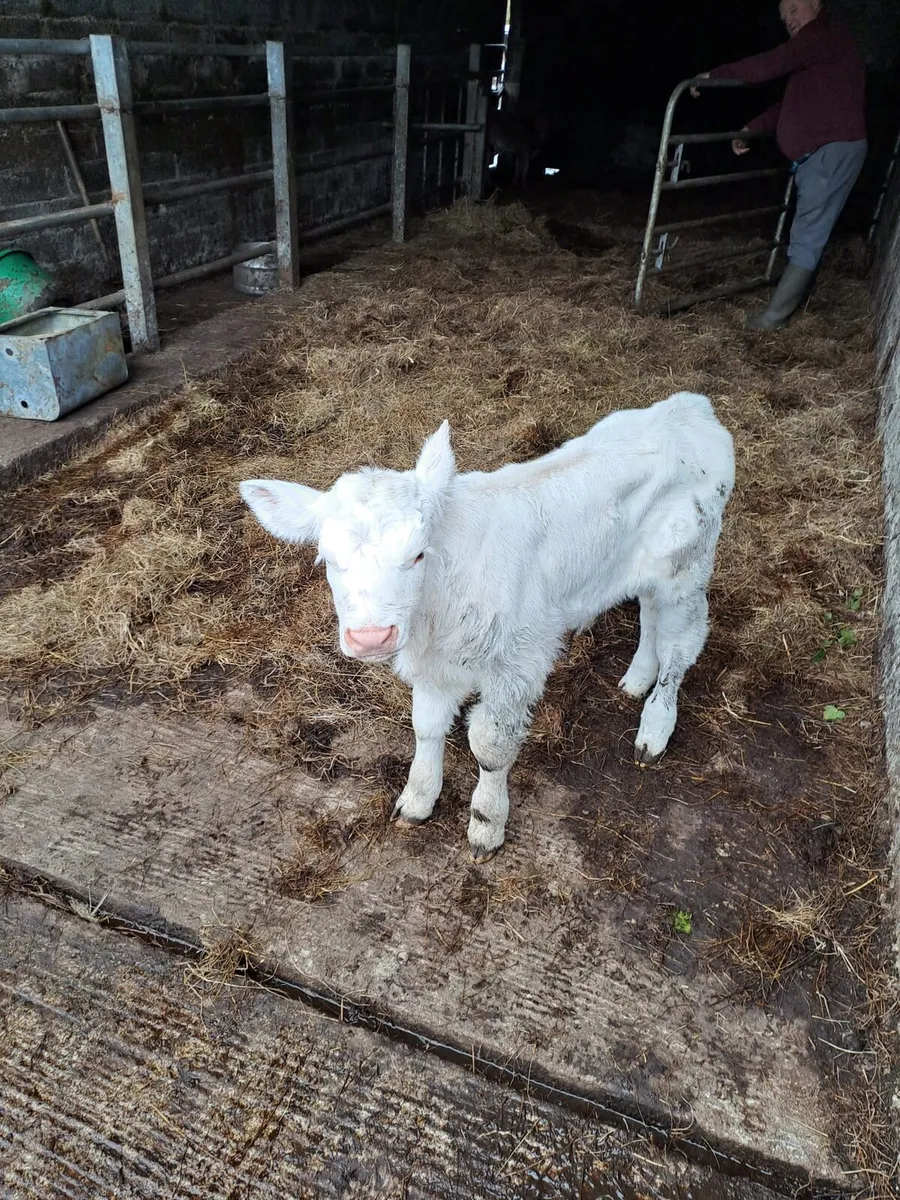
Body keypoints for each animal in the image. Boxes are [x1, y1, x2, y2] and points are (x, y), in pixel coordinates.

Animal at [240, 391, 734, 863]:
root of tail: (690, 408)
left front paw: (486, 823)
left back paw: (655, 725)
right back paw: (636, 678)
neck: (436, 608)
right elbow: (426, 727)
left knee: (681, 644)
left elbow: (490, 748)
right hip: (645, 568)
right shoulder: (434, 667)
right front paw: (417, 799)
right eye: (328, 559)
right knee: (649, 613)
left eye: (418, 553)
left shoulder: (517, 665)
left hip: (688, 569)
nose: (370, 637)